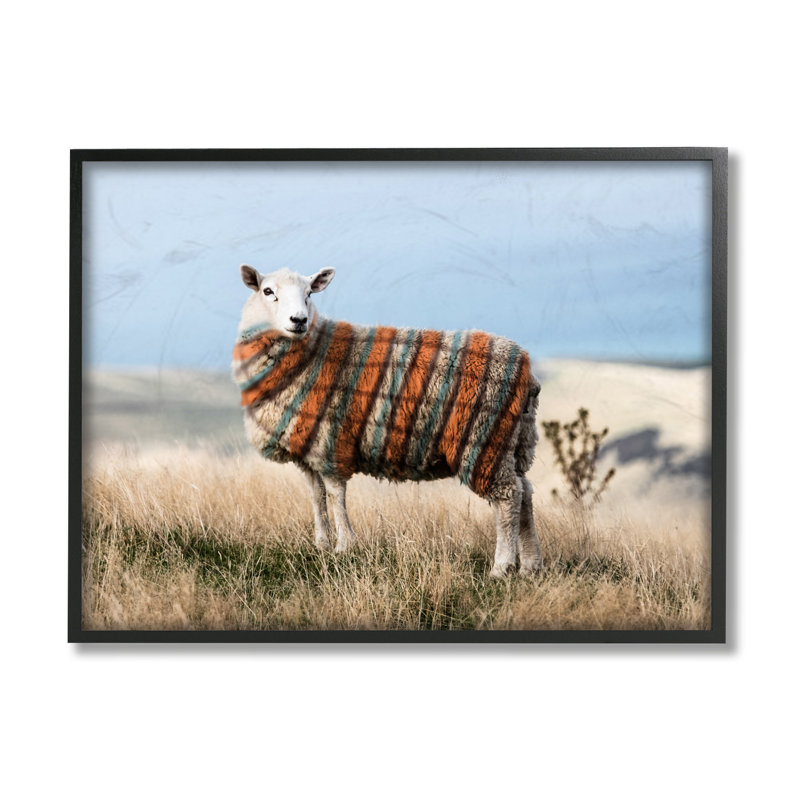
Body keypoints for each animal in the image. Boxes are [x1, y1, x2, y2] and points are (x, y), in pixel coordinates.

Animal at [232, 264, 542, 577]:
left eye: (309, 293)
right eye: (268, 291)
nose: (299, 320)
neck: (312, 351)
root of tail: (525, 368)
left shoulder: (328, 442)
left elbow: (335, 495)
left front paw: (344, 546)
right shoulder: (305, 448)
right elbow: (317, 496)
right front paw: (321, 544)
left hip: (483, 440)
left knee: (508, 497)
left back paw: (502, 567)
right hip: (513, 441)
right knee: (525, 492)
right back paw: (529, 565)